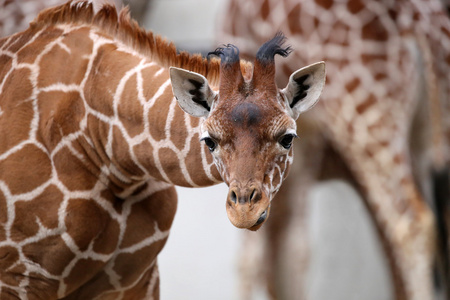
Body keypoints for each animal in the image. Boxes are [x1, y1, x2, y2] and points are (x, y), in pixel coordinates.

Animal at [216, 0, 448, 298]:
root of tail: (421, 25)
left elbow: (251, 258)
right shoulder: (301, 147)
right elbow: (295, 251)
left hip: (366, 119)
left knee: (410, 225)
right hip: (427, 132)